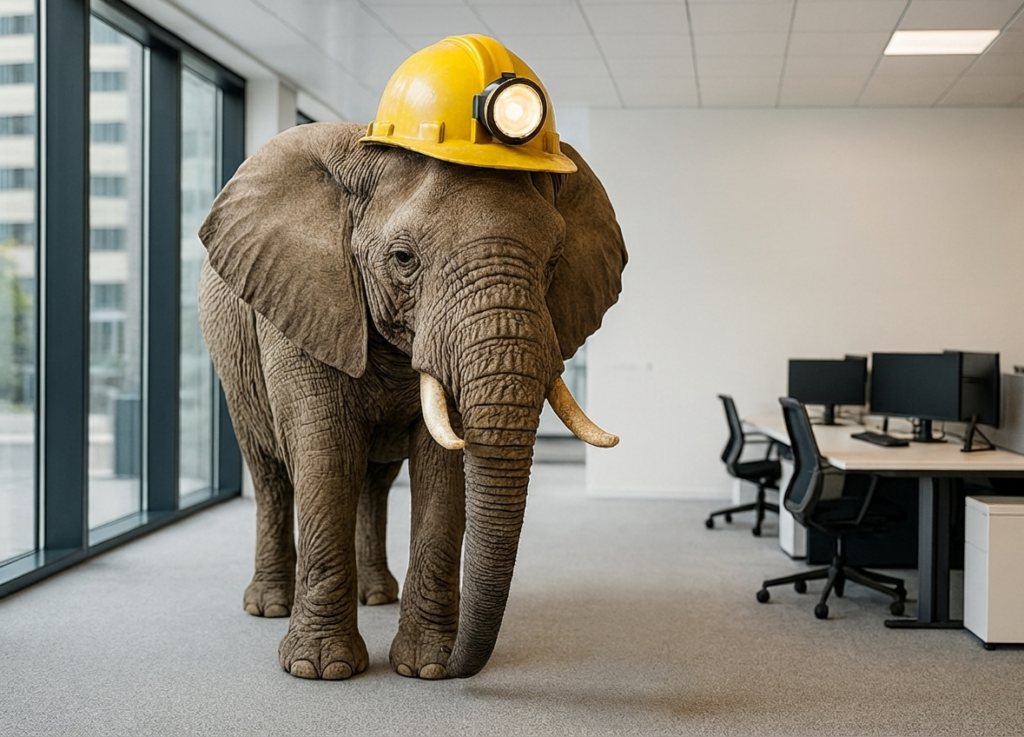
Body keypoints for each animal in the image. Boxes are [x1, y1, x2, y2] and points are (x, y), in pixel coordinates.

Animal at [197, 121, 626, 680]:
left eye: (554, 262)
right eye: (403, 259)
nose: (464, 664)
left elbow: (441, 466)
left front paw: (429, 667)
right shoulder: (302, 298)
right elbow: (326, 453)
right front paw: (320, 669)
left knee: (374, 484)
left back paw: (378, 596)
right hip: (234, 371)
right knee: (270, 474)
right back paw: (269, 606)